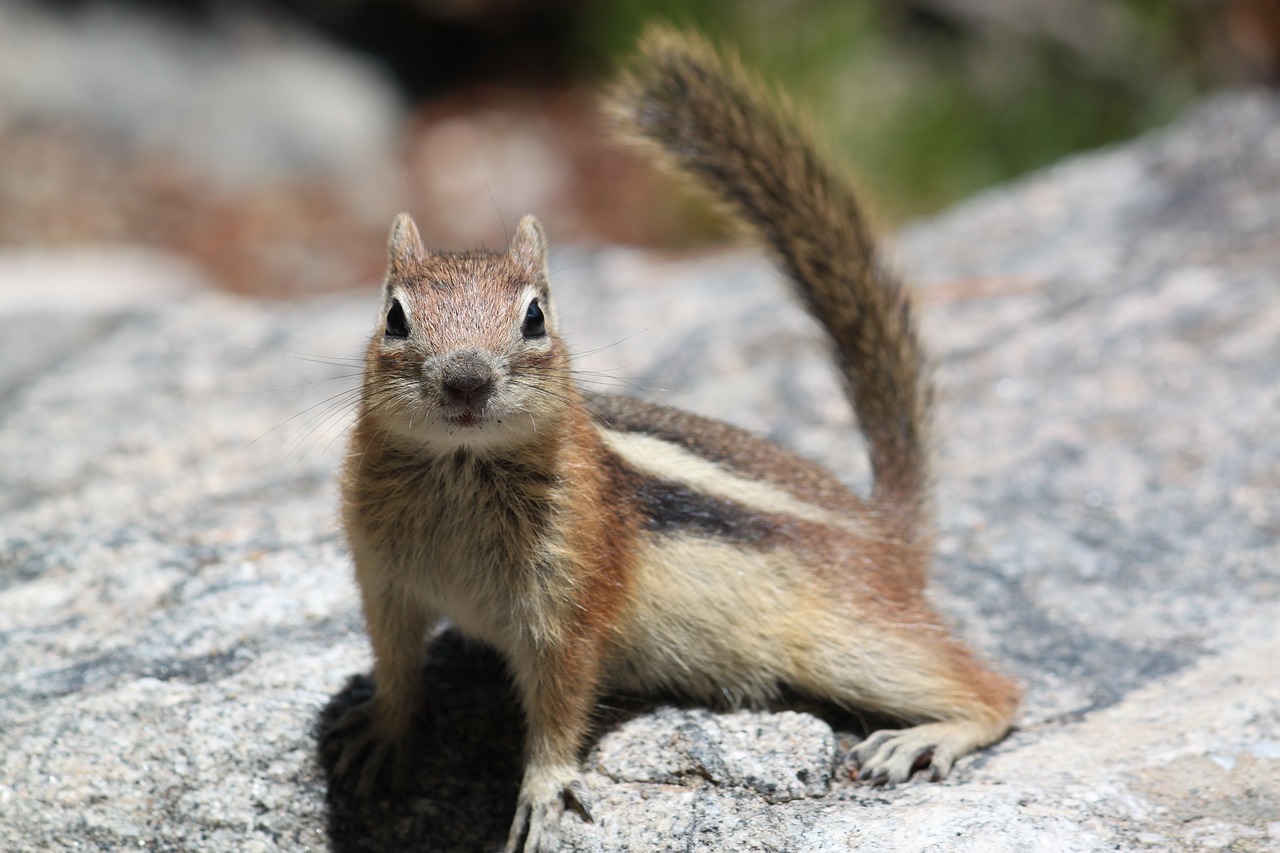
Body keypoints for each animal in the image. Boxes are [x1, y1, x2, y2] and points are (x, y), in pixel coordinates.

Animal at [327, 23, 1018, 845]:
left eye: (536, 317)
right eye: (394, 317)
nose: (466, 378)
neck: (459, 469)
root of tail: (889, 533)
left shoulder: (571, 596)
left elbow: (561, 699)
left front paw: (543, 788)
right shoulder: (384, 580)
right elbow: (395, 664)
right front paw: (380, 733)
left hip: (851, 637)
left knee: (996, 687)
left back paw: (927, 736)